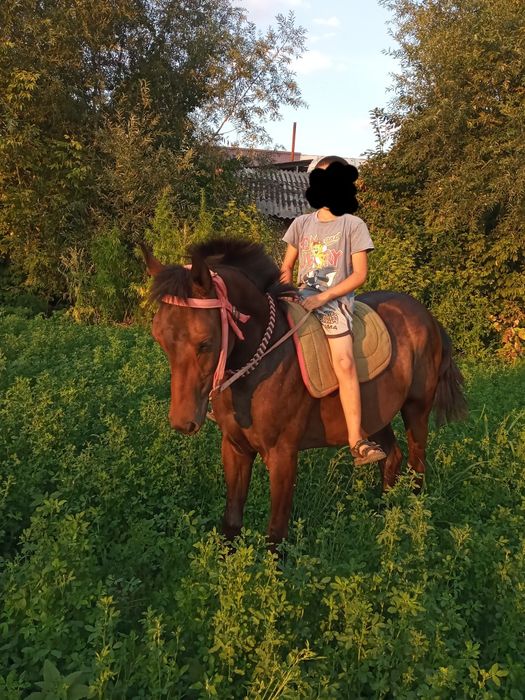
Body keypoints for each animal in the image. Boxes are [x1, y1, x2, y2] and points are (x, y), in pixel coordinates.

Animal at [142, 238, 467, 547]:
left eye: (205, 342)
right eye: (160, 338)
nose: (183, 423)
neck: (260, 364)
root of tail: (428, 318)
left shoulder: (283, 455)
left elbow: (276, 532)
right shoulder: (234, 447)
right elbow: (231, 522)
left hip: (416, 410)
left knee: (417, 467)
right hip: (377, 416)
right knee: (392, 457)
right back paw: (385, 517)